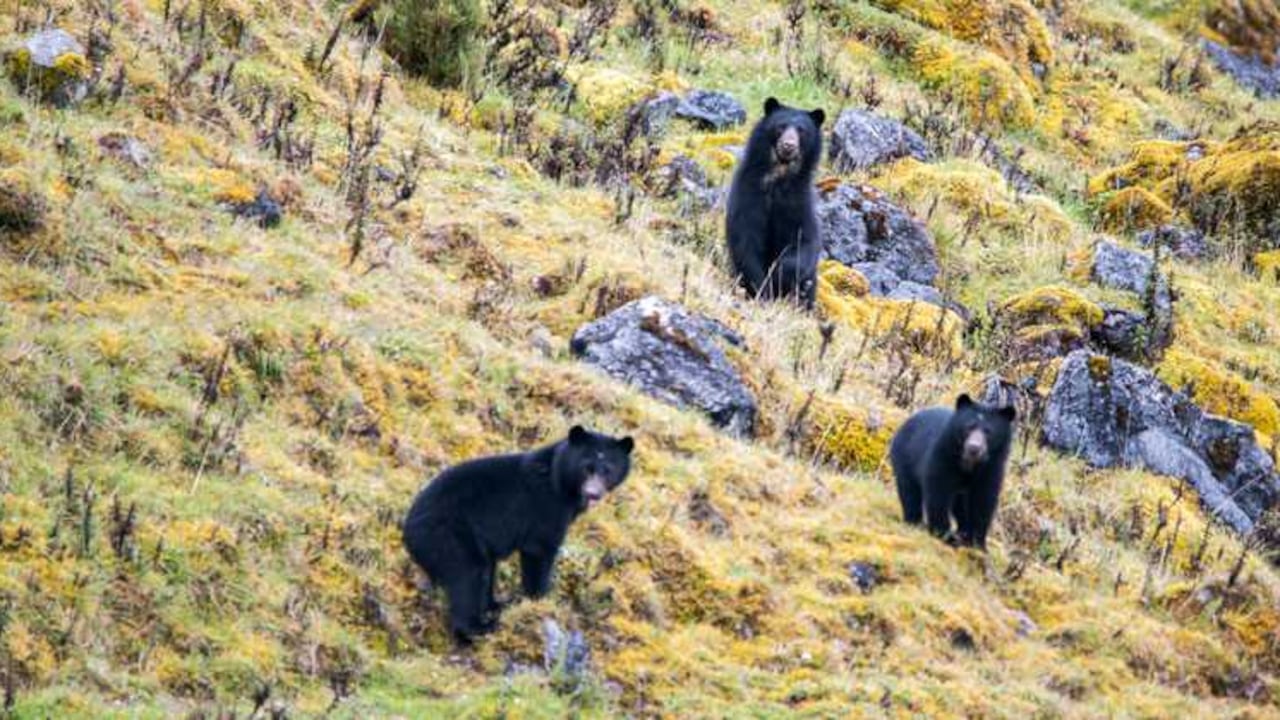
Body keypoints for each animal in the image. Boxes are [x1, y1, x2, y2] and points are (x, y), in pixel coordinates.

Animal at [402, 425, 634, 641]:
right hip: (448, 536)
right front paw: (540, 600)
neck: (559, 481)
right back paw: (478, 628)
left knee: (486, 570)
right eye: (587, 468)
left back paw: (495, 605)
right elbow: (539, 549)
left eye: (608, 470)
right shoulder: (547, 507)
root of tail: (407, 532)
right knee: (468, 575)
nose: (593, 494)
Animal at [725, 97, 826, 308]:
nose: (788, 145)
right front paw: (763, 290)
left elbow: (805, 242)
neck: (778, 179)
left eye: (801, 130)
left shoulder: (798, 202)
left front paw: (779, 273)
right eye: (781, 126)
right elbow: (746, 241)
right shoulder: (748, 195)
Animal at [889, 394, 1016, 549]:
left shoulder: (991, 469)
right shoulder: (943, 457)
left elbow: (983, 501)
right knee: (909, 492)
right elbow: (938, 493)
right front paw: (944, 535)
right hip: (905, 457)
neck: (969, 465)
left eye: (988, 431)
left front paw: (977, 543)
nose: (974, 448)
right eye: (969, 427)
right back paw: (915, 522)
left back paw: (962, 532)